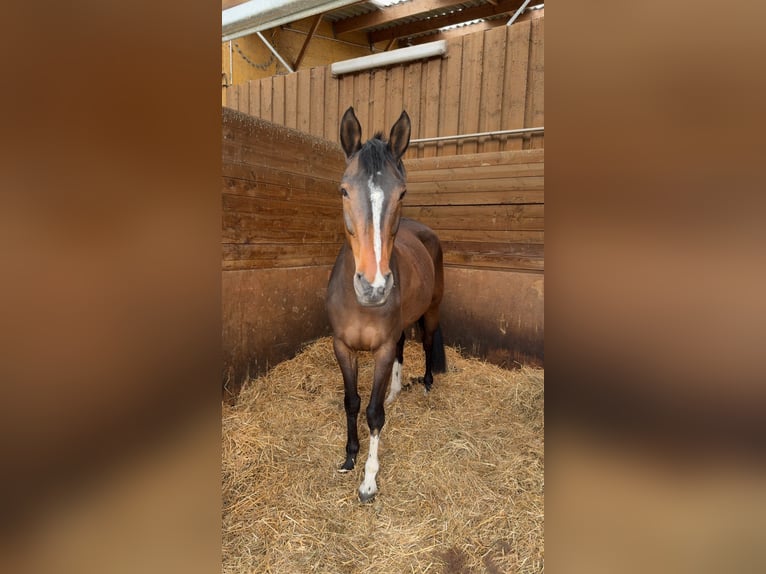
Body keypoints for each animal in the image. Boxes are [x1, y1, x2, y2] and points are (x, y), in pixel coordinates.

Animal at [326, 107, 446, 502]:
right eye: (344, 190)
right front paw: (350, 457)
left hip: (431, 311)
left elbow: (374, 414)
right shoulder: (343, 347)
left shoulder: (379, 350)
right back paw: (396, 392)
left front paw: (369, 480)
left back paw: (425, 385)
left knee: (425, 342)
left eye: (402, 192)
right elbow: (352, 402)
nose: (374, 287)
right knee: (403, 345)